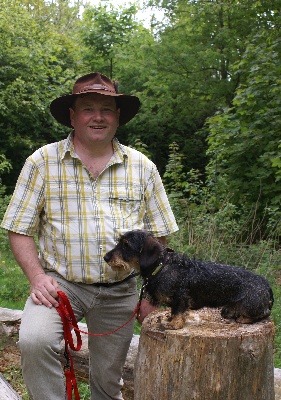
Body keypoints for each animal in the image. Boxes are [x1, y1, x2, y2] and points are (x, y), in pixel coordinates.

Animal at [104, 230, 272, 330]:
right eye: (120, 242)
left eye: (126, 245)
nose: (106, 257)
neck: (161, 266)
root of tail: (268, 287)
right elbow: (174, 311)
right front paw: (170, 318)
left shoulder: (180, 297)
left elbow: (178, 310)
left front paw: (174, 323)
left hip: (249, 305)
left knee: (263, 314)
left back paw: (244, 319)